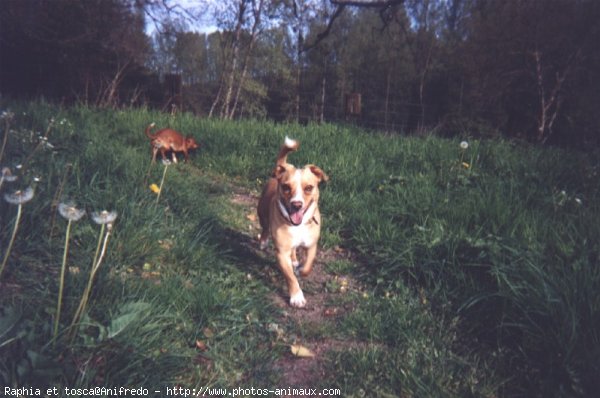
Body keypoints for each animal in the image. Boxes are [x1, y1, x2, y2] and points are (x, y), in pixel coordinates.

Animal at [256, 137, 328, 308]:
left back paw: (295, 260)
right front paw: (297, 296)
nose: (297, 204)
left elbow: (307, 266)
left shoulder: (311, 245)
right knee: (265, 229)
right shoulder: (281, 253)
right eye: (286, 187)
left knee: (294, 250)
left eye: (309, 188)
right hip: (262, 213)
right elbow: (290, 277)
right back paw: (263, 242)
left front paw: (301, 269)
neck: (298, 225)